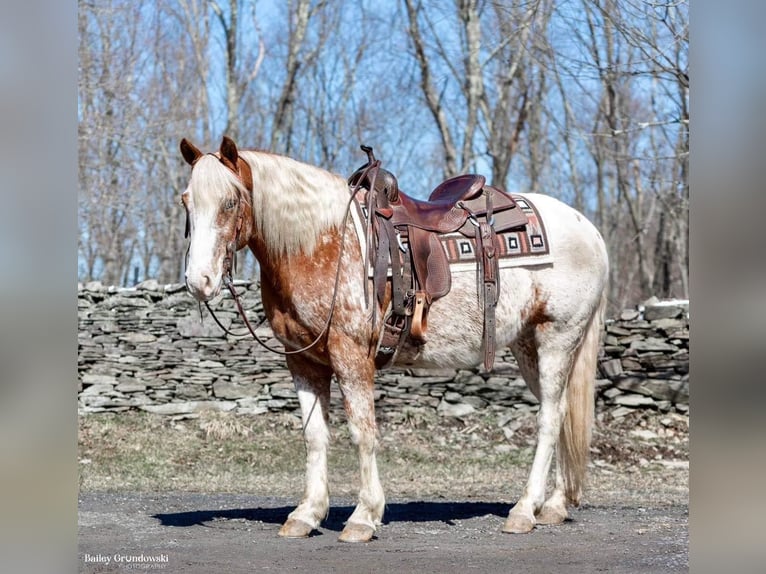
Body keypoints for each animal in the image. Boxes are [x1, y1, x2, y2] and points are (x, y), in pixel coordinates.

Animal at [180, 137, 612, 548]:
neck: (323, 243)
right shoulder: (303, 360)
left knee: (549, 418)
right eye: (186, 201)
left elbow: (362, 432)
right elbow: (314, 436)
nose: (199, 281)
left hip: (557, 339)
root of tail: (589, 229)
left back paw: (524, 510)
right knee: (561, 415)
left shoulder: (351, 355)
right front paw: (306, 514)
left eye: (230, 201)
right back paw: (553, 506)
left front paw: (363, 518)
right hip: (528, 346)